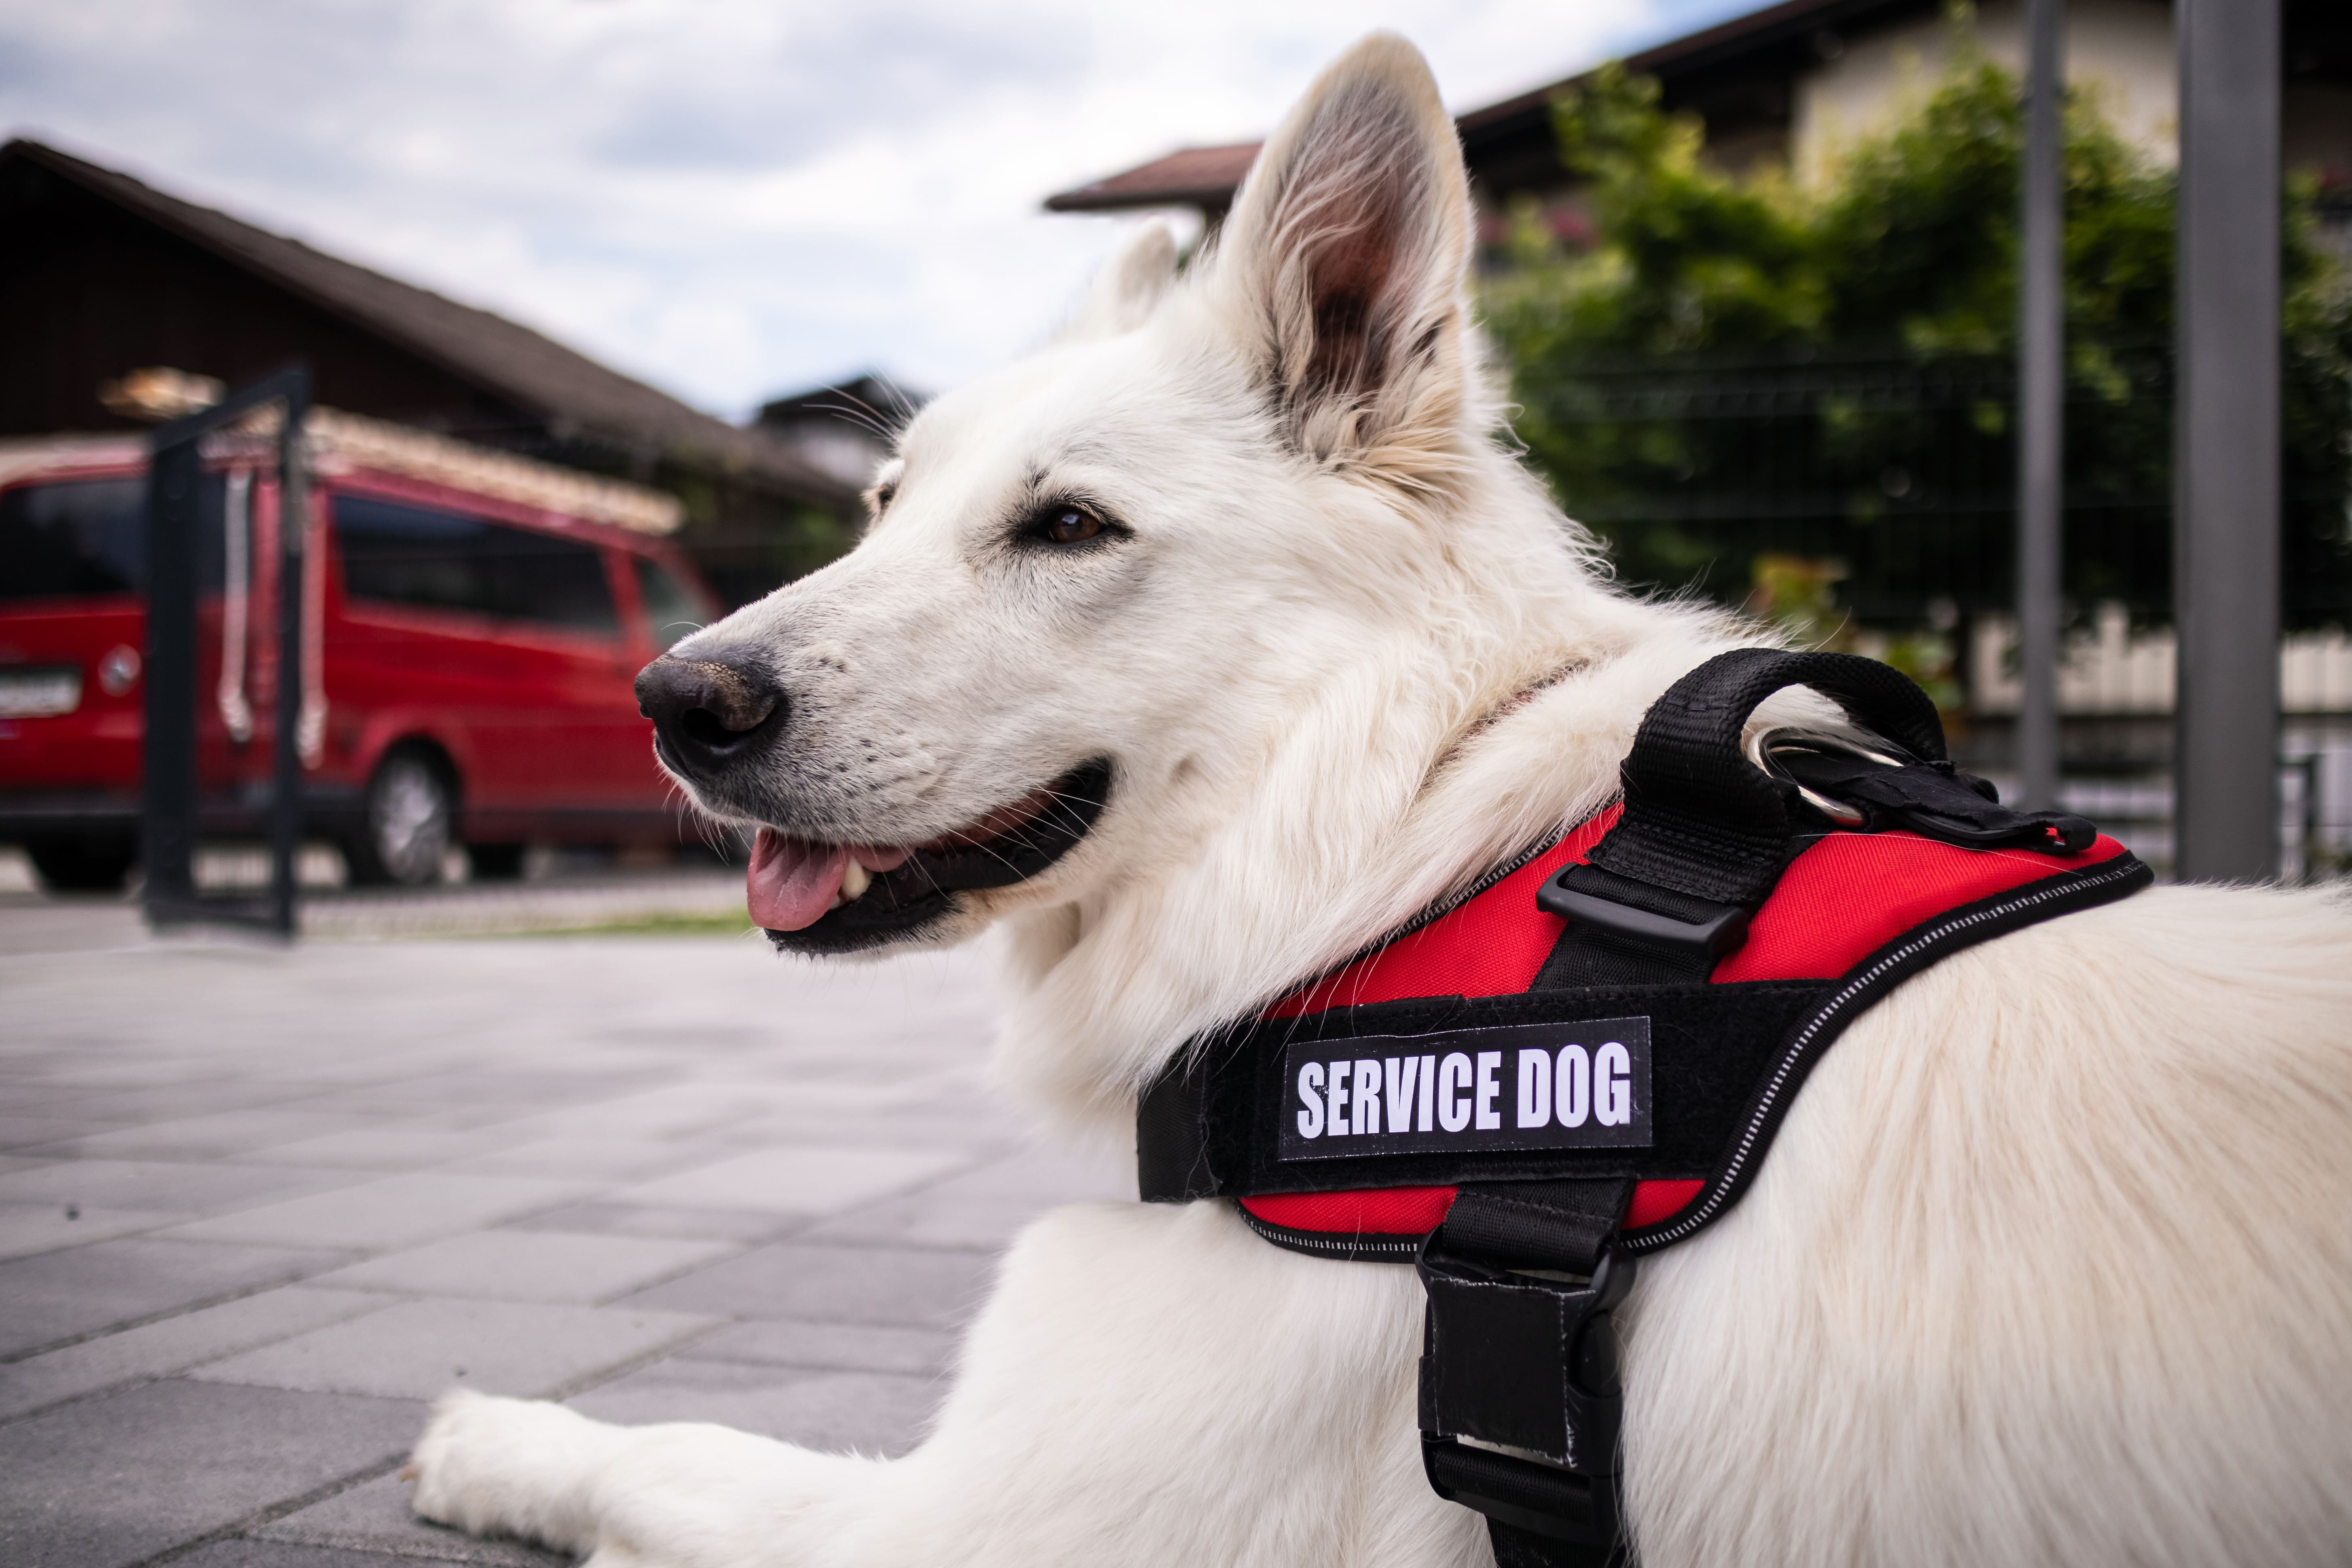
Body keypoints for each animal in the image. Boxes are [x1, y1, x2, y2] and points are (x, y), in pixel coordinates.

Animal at [414, 30, 2352, 1561]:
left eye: (1066, 527)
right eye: (885, 505)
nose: (675, 700)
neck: (1394, 830)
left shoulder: (993, 1519)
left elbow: (681, 1449)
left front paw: (498, 1438)